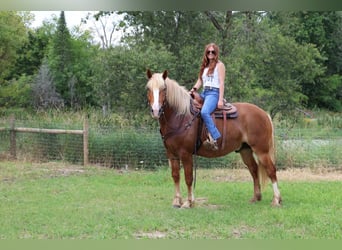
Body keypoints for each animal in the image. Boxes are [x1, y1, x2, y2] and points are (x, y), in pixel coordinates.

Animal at [146, 69, 282, 208]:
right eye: (148, 88)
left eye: (164, 89)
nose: (155, 111)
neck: (181, 116)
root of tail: (264, 113)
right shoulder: (171, 154)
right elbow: (175, 176)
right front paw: (176, 201)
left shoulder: (186, 153)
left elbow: (188, 178)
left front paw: (188, 202)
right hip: (245, 150)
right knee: (254, 170)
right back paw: (256, 197)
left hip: (261, 150)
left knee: (271, 170)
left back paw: (276, 200)